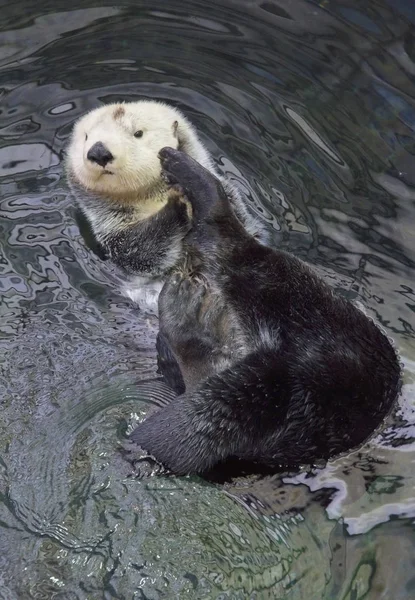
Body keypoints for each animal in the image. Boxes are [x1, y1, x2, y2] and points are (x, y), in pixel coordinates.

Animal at [66, 100, 268, 312]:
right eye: (86, 137)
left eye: (138, 133)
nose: (98, 152)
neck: (152, 198)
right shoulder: (113, 232)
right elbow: (140, 251)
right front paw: (177, 203)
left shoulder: (235, 203)